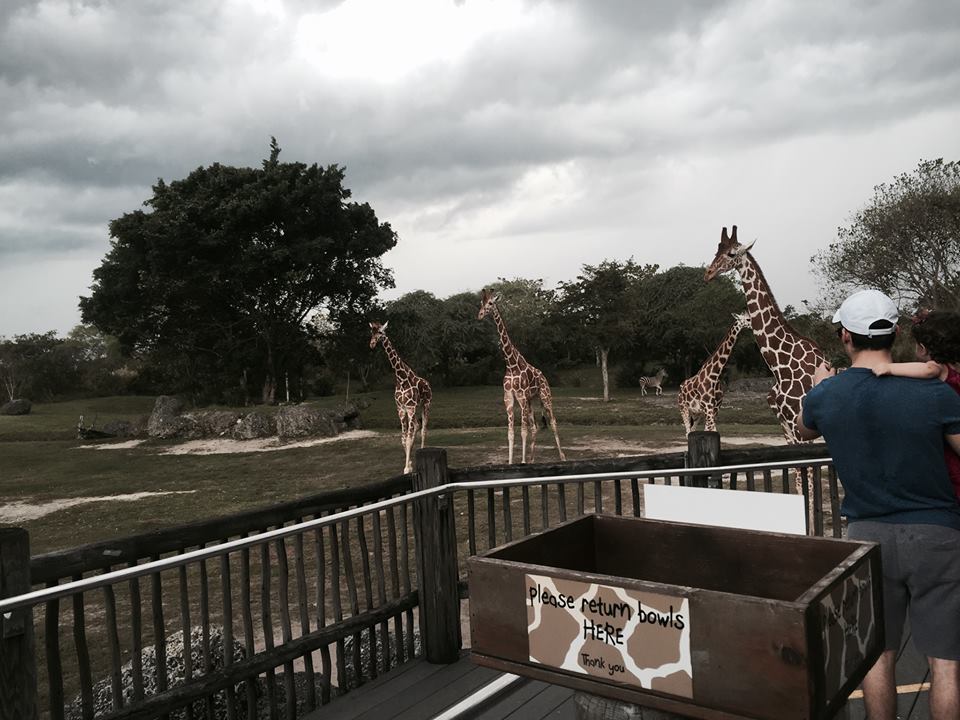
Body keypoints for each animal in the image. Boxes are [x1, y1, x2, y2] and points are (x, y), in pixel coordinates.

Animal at [369, 321, 432, 474]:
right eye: (371, 332)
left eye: (380, 332)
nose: (372, 344)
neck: (401, 378)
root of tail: (428, 383)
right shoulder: (401, 409)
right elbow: (403, 438)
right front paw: (409, 464)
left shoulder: (410, 408)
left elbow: (408, 438)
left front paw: (406, 468)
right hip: (415, 409)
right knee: (417, 426)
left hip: (426, 404)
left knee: (423, 428)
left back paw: (422, 450)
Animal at [477, 289, 565, 464]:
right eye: (480, 303)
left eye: (491, 303)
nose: (480, 314)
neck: (511, 365)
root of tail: (544, 377)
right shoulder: (509, 397)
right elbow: (511, 432)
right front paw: (513, 463)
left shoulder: (522, 396)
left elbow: (523, 430)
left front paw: (522, 462)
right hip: (531, 401)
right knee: (535, 427)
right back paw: (531, 460)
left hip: (545, 396)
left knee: (553, 422)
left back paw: (562, 457)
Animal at [704, 225, 826, 490]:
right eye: (716, 250)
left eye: (731, 253)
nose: (707, 274)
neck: (780, 367)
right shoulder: (786, 426)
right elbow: (800, 481)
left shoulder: (802, 428)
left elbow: (809, 482)